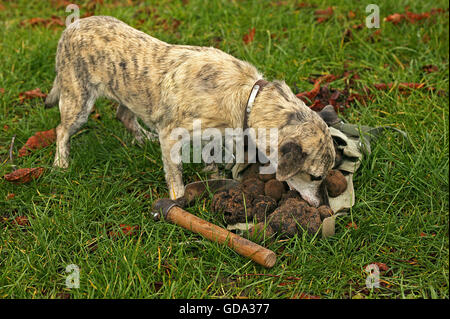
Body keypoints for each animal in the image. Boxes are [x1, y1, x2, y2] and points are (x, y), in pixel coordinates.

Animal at [46, 16, 334, 208]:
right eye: (315, 177)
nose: (324, 206)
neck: (247, 97)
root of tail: (70, 27)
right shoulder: (171, 136)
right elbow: (175, 176)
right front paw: (179, 200)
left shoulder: (211, 133)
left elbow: (211, 156)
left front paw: (214, 175)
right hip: (77, 99)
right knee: (61, 129)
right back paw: (61, 163)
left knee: (124, 115)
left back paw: (142, 139)